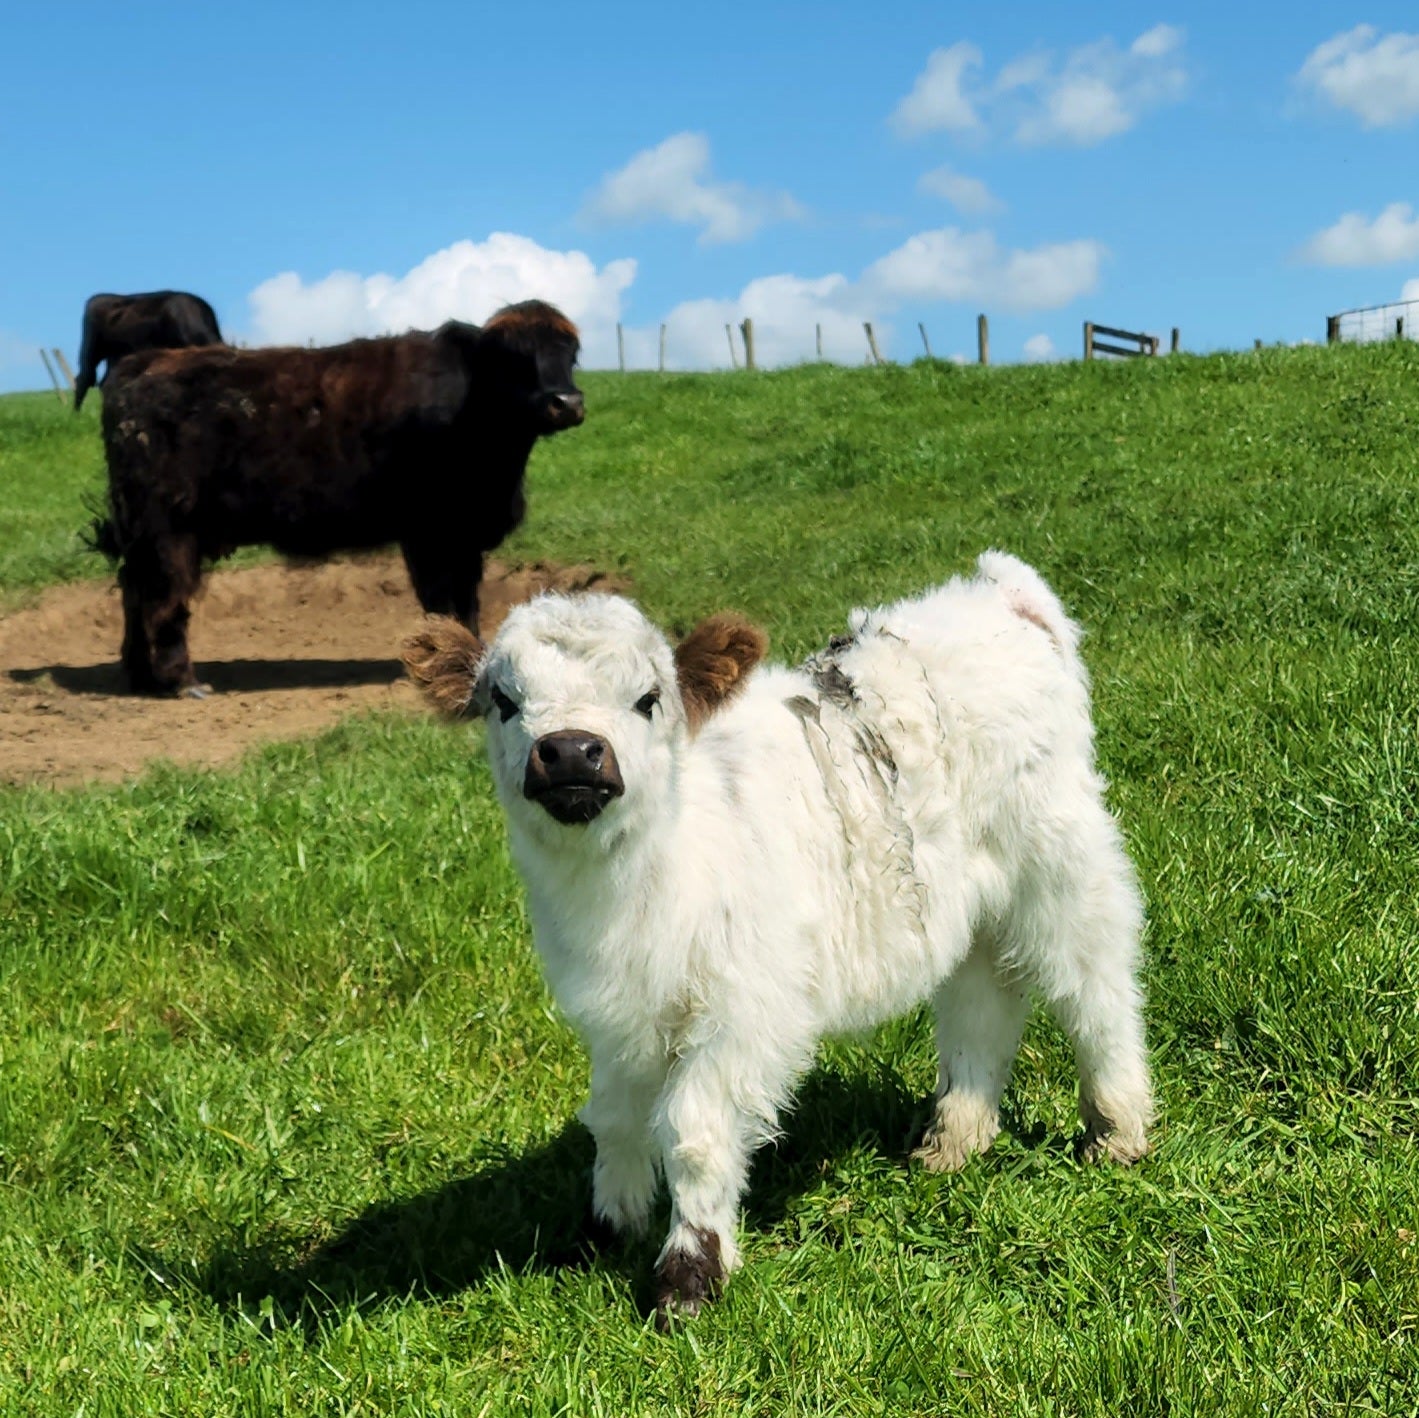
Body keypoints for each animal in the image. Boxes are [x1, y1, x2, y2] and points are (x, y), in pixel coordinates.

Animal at [95, 300, 581, 698]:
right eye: (515, 357)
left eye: (572, 354)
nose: (567, 402)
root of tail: (143, 365)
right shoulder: (430, 537)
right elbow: (443, 603)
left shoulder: (462, 538)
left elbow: (466, 602)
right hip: (169, 532)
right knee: (163, 599)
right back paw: (183, 681)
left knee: (134, 591)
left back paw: (140, 676)